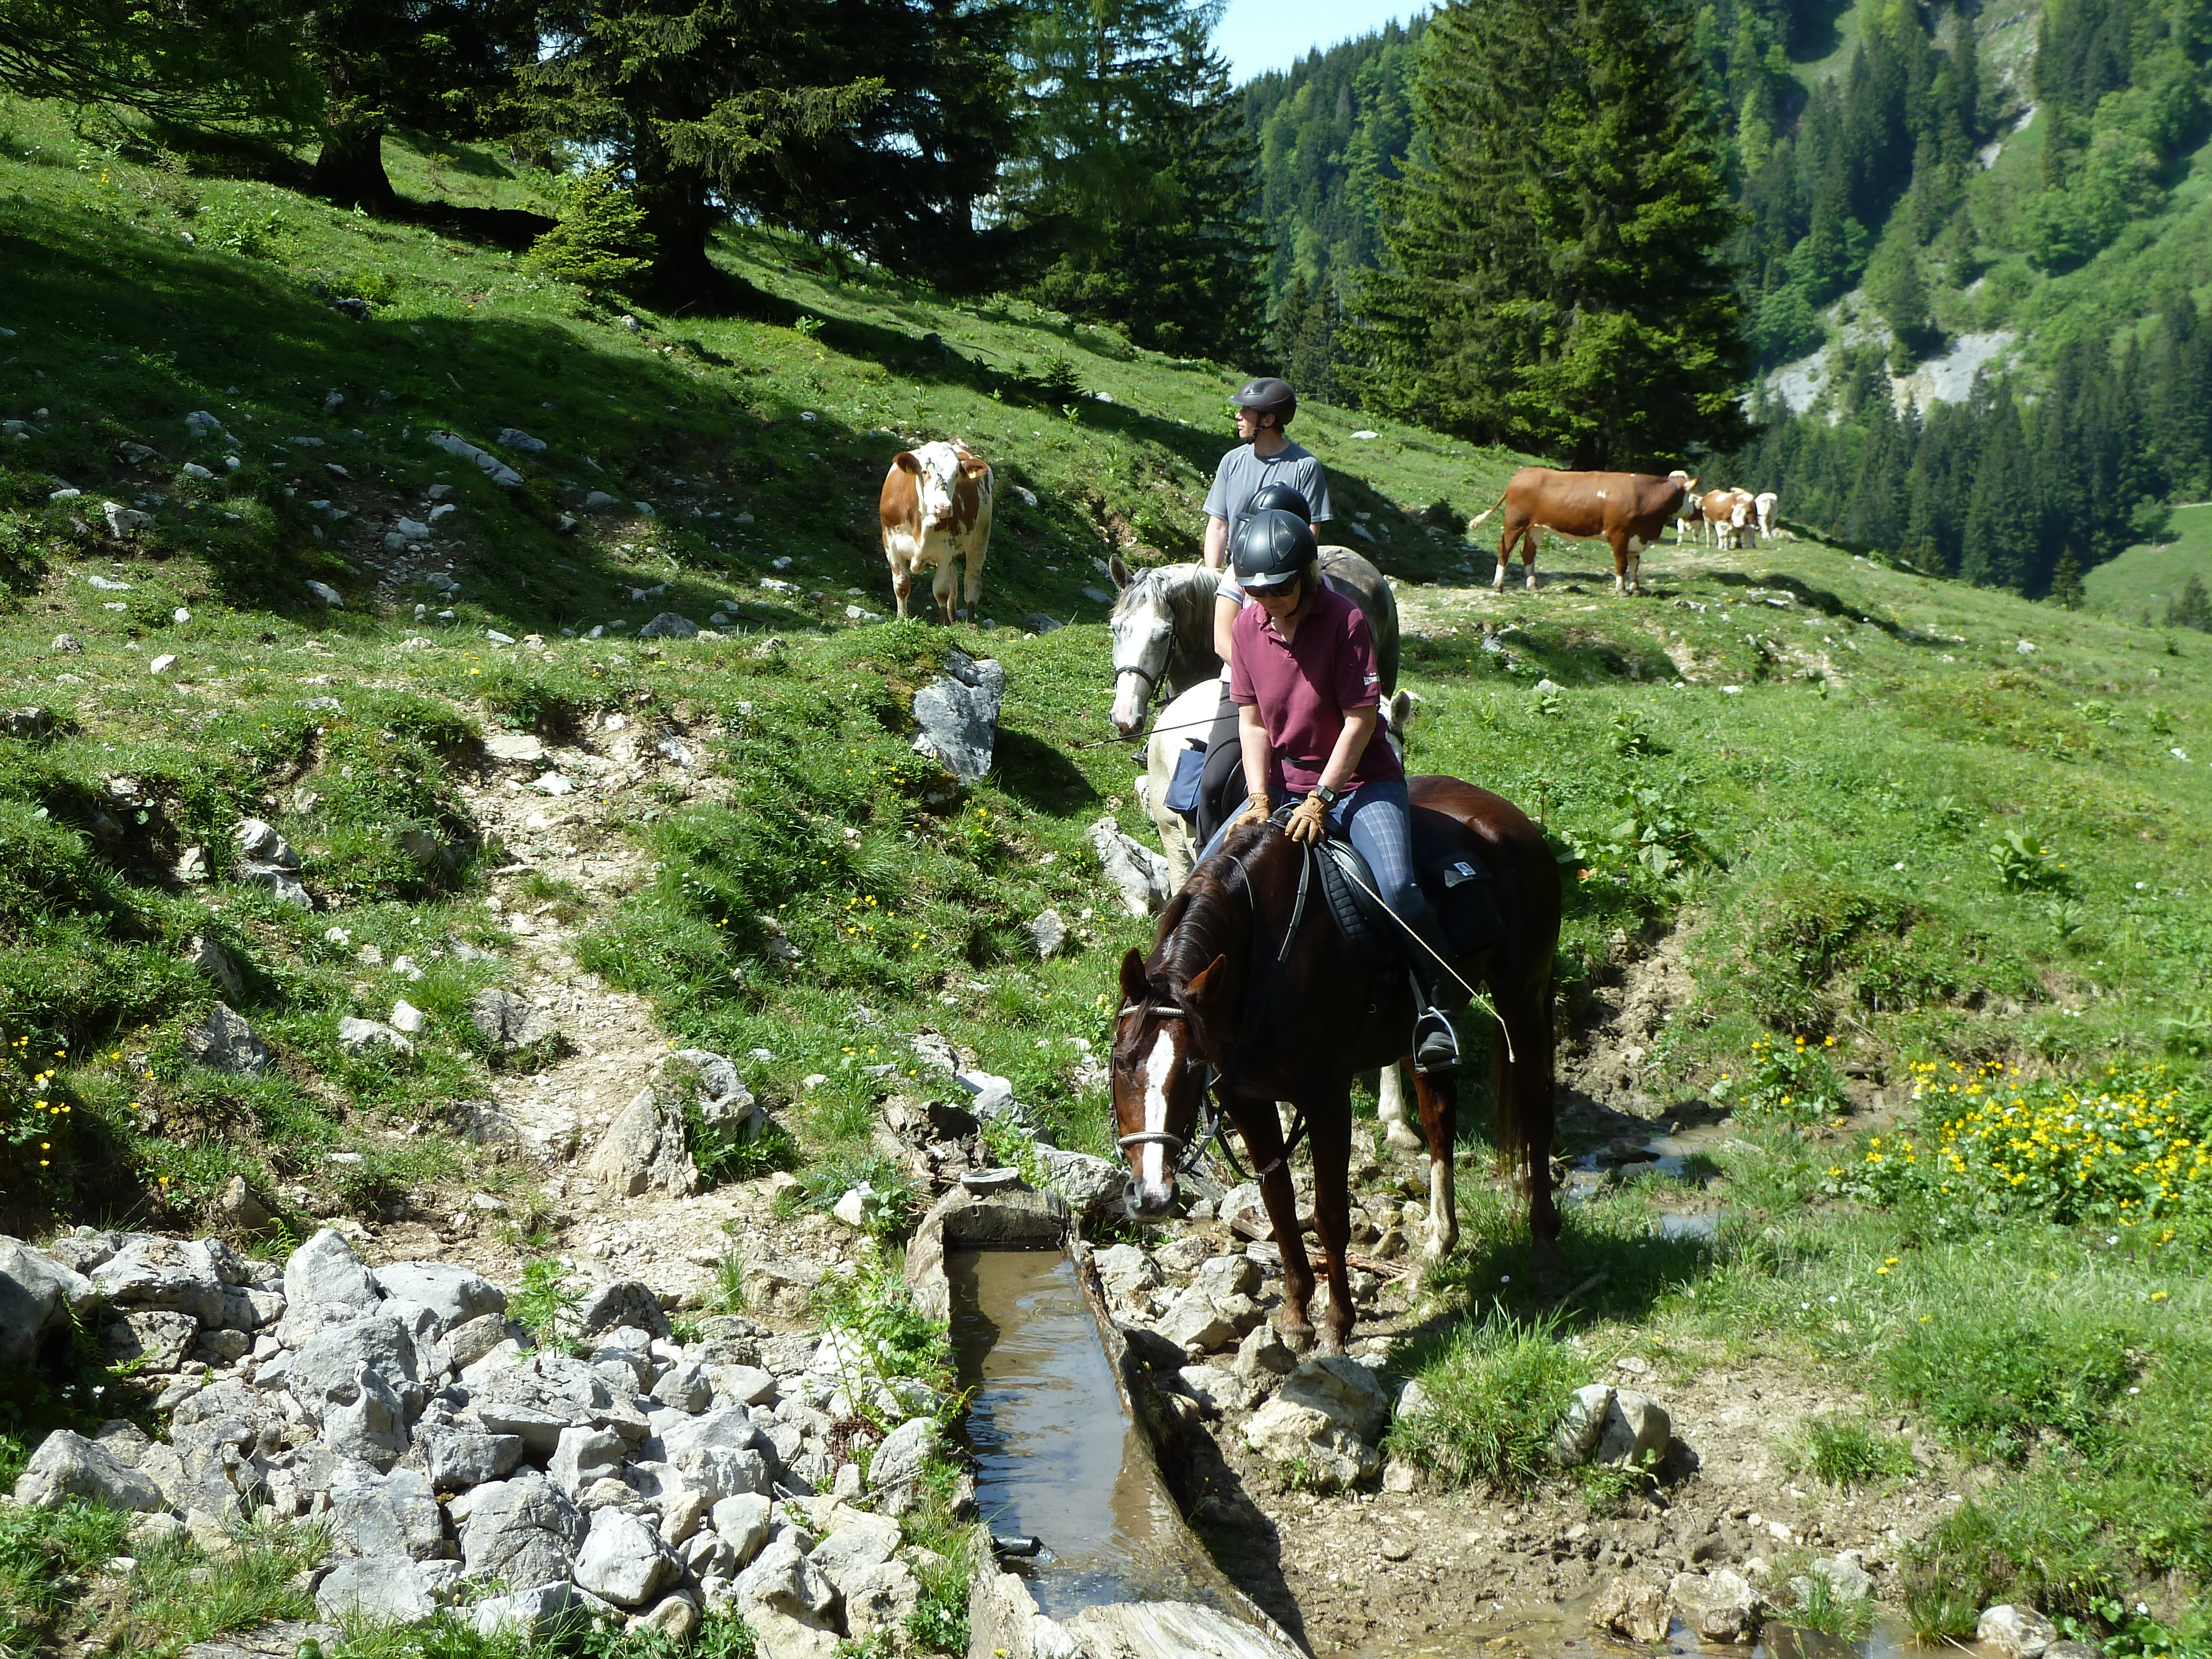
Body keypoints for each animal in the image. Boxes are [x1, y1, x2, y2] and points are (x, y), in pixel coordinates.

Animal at [872, 442, 995, 624]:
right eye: (924, 471)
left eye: (956, 474)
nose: (943, 507)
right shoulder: (890, 542)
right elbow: (902, 584)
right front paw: (902, 617)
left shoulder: (945, 548)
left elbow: (941, 589)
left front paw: (943, 623)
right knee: (954, 578)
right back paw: (953, 616)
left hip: (981, 534)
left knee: (972, 579)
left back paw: (971, 622)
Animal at [1106, 779, 1557, 1354]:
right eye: (1122, 1062)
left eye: (1191, 1067)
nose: (1151, 1197)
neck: (1261, 962)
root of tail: (1514, 820)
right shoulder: (1249, 1099)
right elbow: (1278, 1204)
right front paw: (1297, 1315)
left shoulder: (1326, 1099)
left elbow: (1329, 1215)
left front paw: (1338, 1323)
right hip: (1420, 1040)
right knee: (1440, 1121)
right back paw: (1438, 1246)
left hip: (1523, 999)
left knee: (1536, 1113)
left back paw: (1543, 1248)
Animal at [1469, 469, 1690, 597]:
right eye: (1690, 495)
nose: (1694, 509)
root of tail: (1525, 472)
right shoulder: (1618, 534)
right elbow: (1622, 564)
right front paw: (1621, 591)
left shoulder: (1636, 538)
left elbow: (1635, 565)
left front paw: (1636, 589)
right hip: (1515, 522)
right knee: (1504, 549)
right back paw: (1498, 586)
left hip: (1536, 527)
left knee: (1528, 553)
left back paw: (1534, 588)